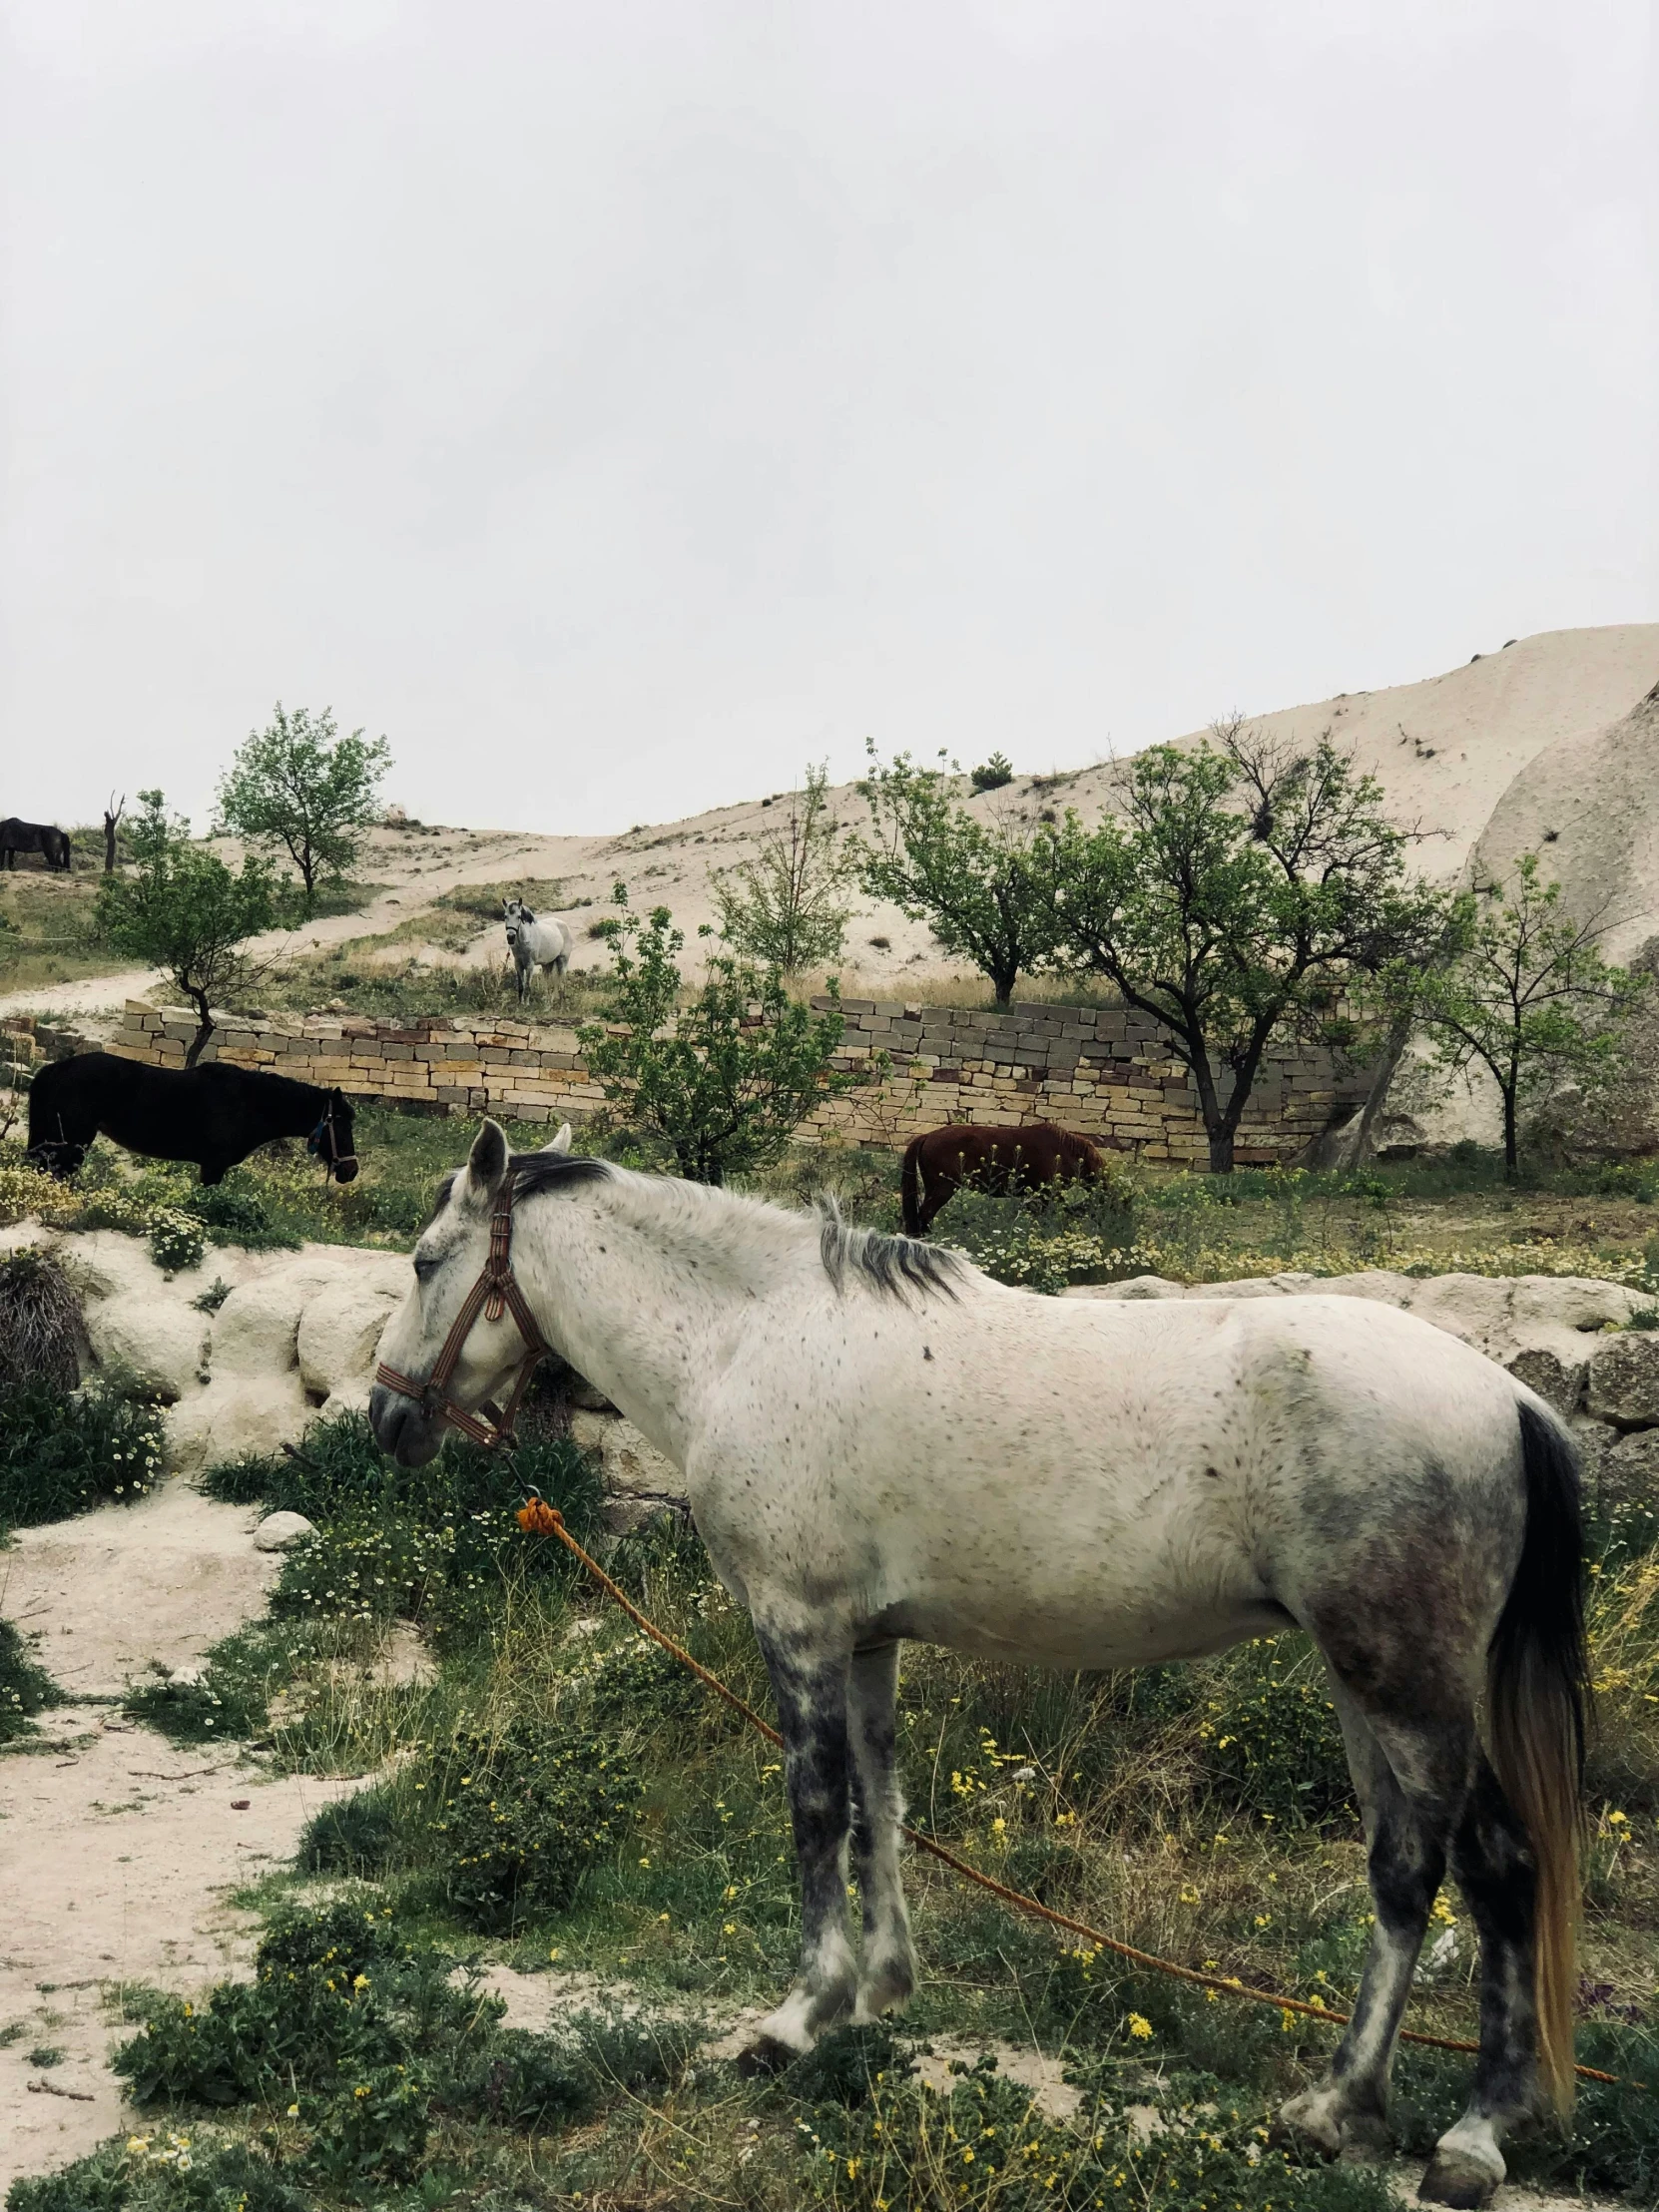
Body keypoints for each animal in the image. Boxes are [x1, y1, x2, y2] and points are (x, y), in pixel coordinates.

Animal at [26, 1057, 357, 1194]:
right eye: (341, 1124)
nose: (351, 1171)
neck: (248, 1102)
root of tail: (54, 1069)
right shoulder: (212, 1167)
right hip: (71, 1143)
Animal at [369, 1132, 1592, 2203]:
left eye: (427, 1262)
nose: (384, 1416)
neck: (751, 1340)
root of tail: (1507, 1393)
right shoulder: (866, 1641)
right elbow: (881, 1806)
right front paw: (879, 1990)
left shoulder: (799, 1628)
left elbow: (816, 1808)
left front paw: (796, 2019)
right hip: (1368, 1690)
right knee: (1441, 1865)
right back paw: (1424, 2113)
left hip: (1405, 1687)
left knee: (1458, 1869)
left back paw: (1408, 2124)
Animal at [902, 1114, 1110, 1238]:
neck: (1064, 1151)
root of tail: (927, 1136)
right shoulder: (1047, 1195)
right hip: (943, 1189)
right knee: (926, 1214)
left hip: (933, 1188)